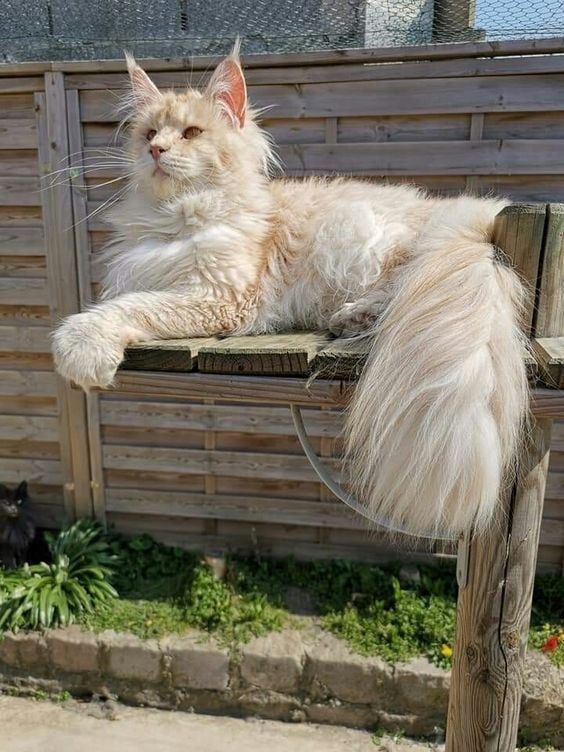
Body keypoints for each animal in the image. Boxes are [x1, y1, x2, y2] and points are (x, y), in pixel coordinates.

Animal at [50, 48, 532, 540]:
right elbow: (124, 299)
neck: (175, 218)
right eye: (148, 134)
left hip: (376, 243)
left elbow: (128, 308)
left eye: (191, 133)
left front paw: (79, 349)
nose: (155, 151)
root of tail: (471, 214)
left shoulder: (218, 295)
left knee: (398, 286)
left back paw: (354, 316)